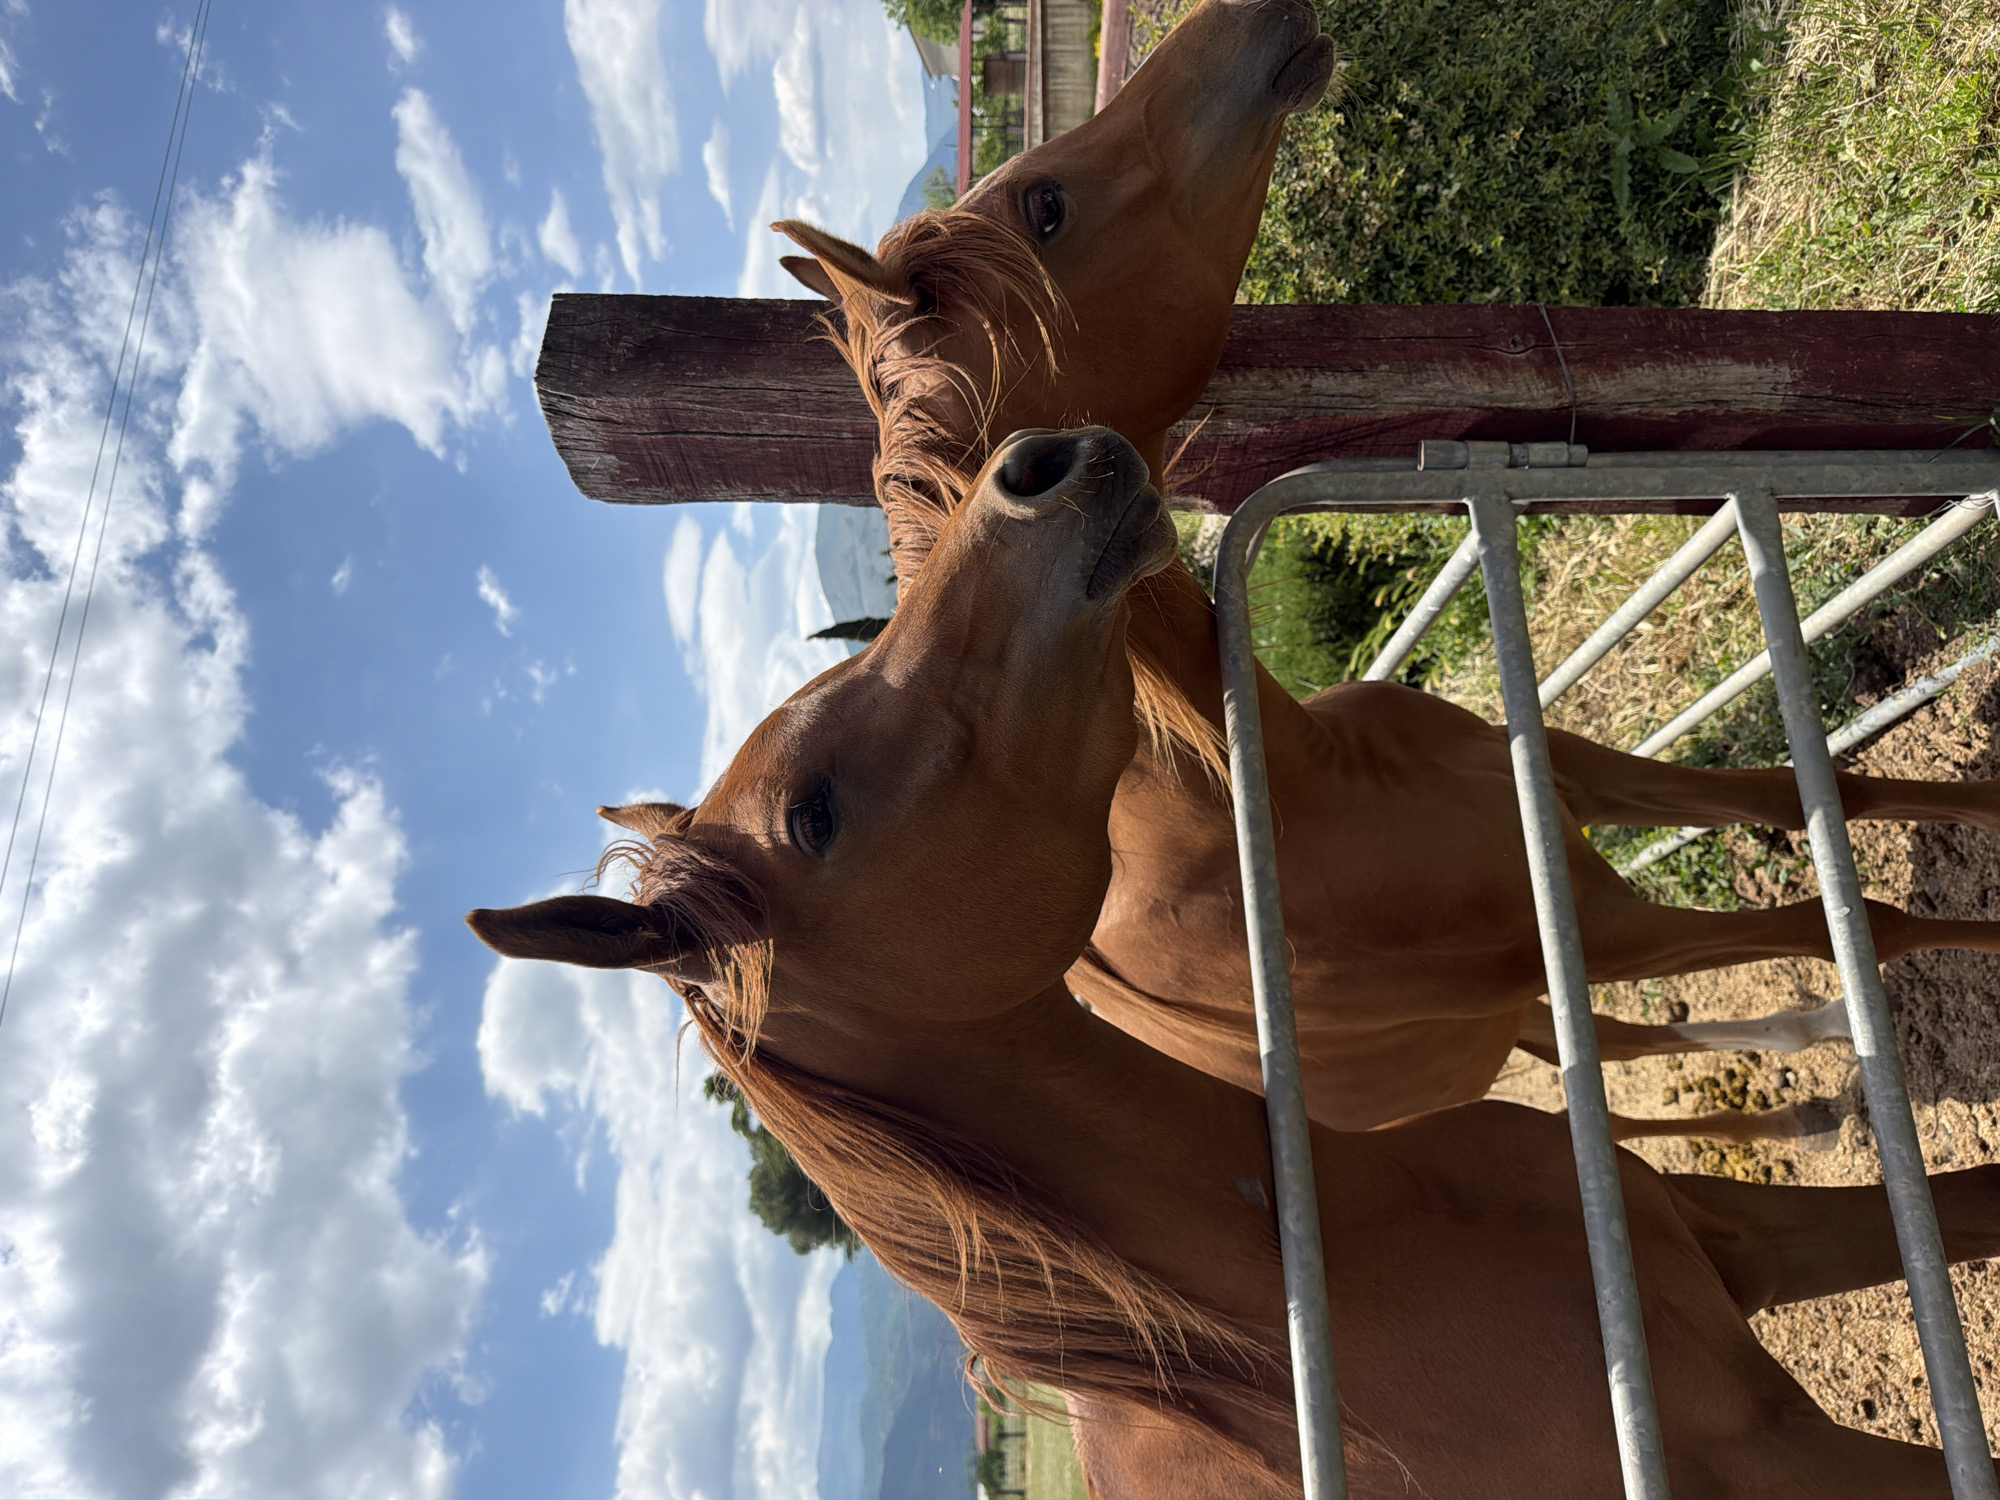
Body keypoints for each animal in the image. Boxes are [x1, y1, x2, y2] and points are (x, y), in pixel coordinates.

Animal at [472, 427, 2000, 1497]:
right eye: (813, 813)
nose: (1035, 466)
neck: (1308, 1300)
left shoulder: (1732, 1227)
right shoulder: (1788, 1463)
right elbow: (1861, 908)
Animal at [769, 0, 2000, 1142]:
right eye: (1048, 206)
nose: (1246, 13)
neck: (1298, 794)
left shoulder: (1563, 771)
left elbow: (1824, 796)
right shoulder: (1602, 932)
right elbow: (1868, 922)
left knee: (1622, 1052)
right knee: (1610, 1098)